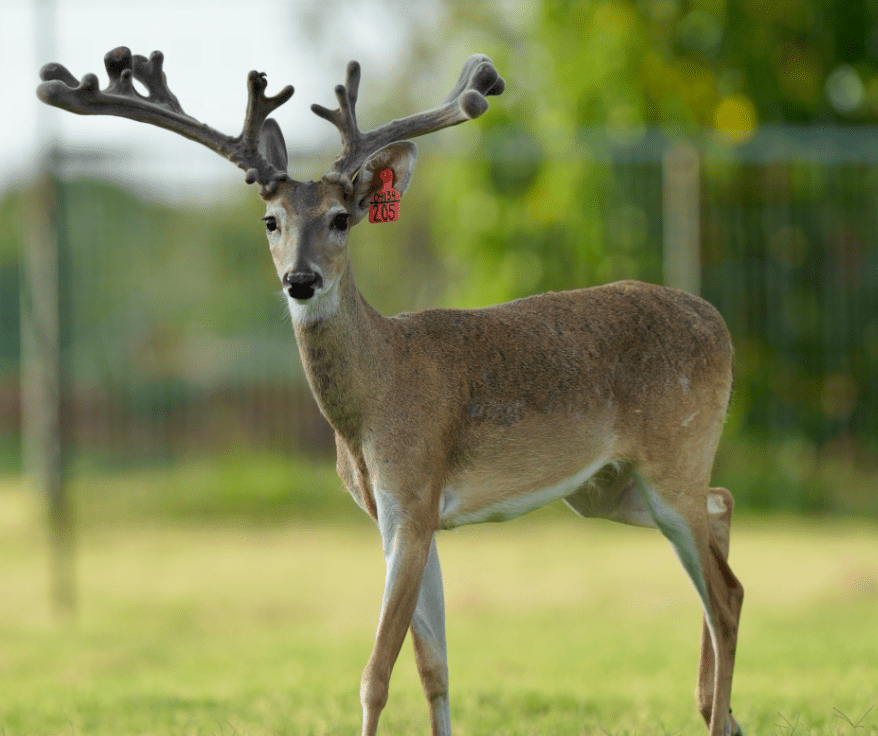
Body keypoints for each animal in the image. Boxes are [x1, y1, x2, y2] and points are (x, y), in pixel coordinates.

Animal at [37, 46, 744, 736]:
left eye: (341, 219)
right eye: (270, 220)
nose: (301, 279)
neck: (376, 398)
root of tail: (718, 320)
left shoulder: (414, 491)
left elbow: (376, 671)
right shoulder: (392, 514)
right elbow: (434, 667)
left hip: (672, 452)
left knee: (726, 595)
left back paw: (718, 716)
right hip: (606, 487)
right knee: (722, 512)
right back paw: (722, 711)